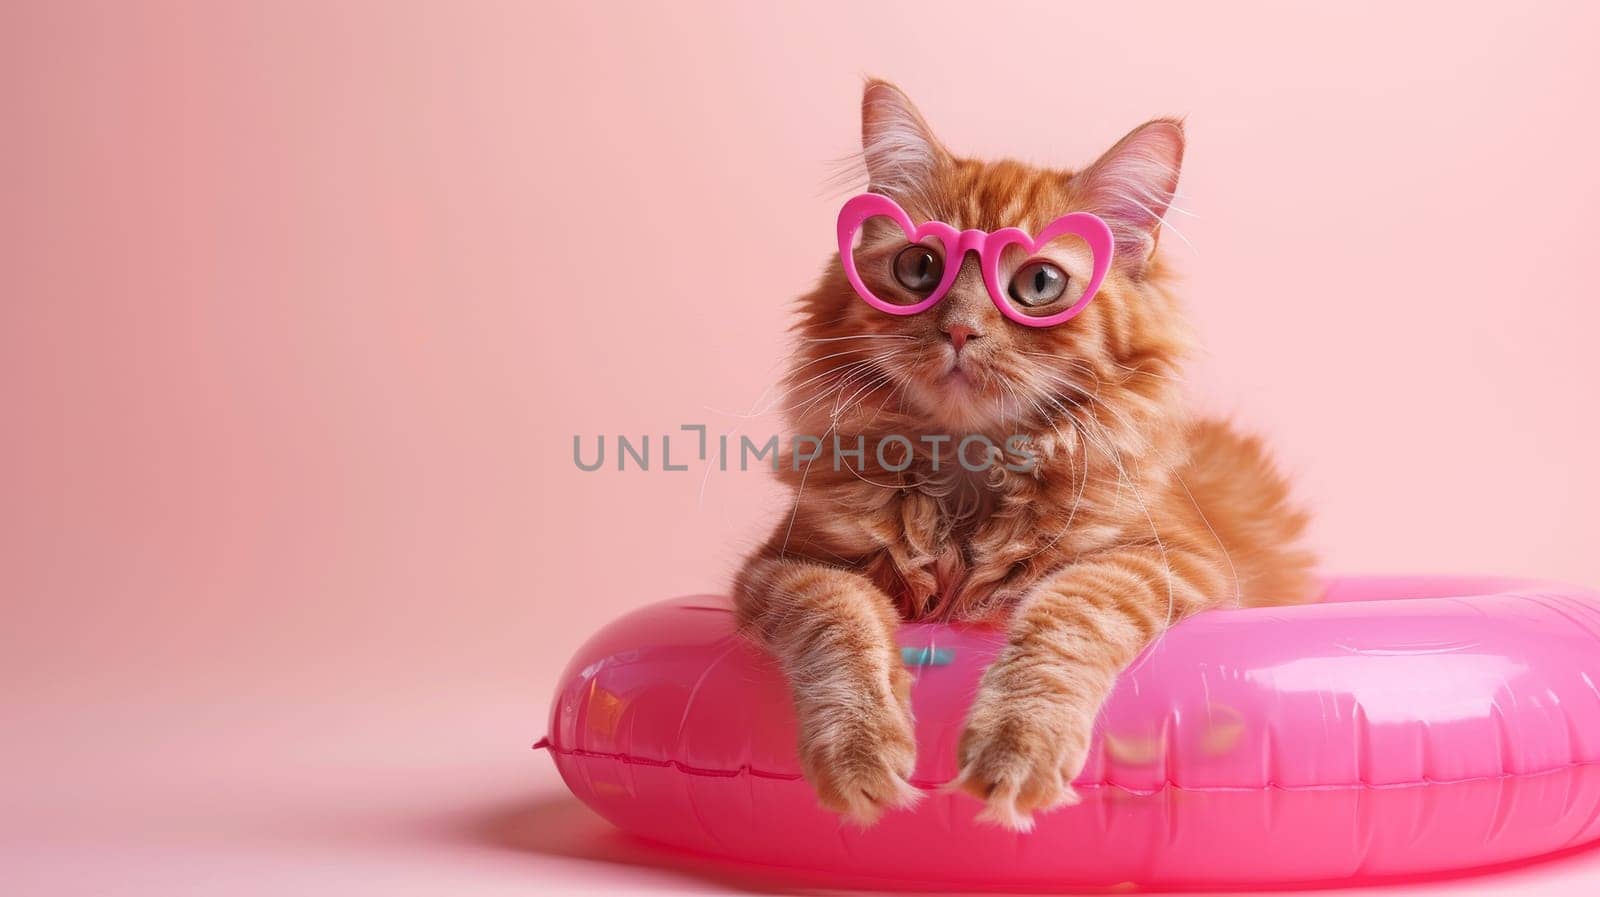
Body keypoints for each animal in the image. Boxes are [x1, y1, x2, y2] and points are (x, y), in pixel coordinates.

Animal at [732, 80, 1318, 831]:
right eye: (918, 268)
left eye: (1039, 285)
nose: (959, 330)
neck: (967, 476)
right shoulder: (788, 565)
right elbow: (840, 622)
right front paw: (860, 752)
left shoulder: (1170, 560)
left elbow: (1065, 615)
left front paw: (1016, 749)